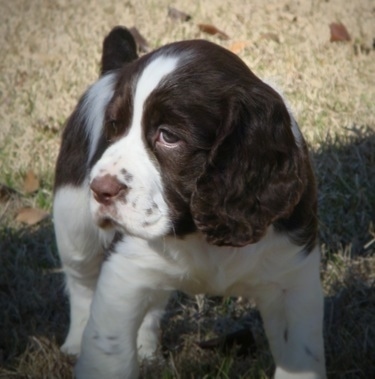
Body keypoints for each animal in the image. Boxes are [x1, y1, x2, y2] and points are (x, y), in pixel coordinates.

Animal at [53, 26, 326, 379]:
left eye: (169, 136)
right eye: (113, 126)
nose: (100, 189)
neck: (197, 229)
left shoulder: (293, 280)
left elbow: (301, 357)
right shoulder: (122, 272)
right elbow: (109, 352)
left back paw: (146, 348)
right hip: (73, 221)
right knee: (81, 282)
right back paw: (75, 341)